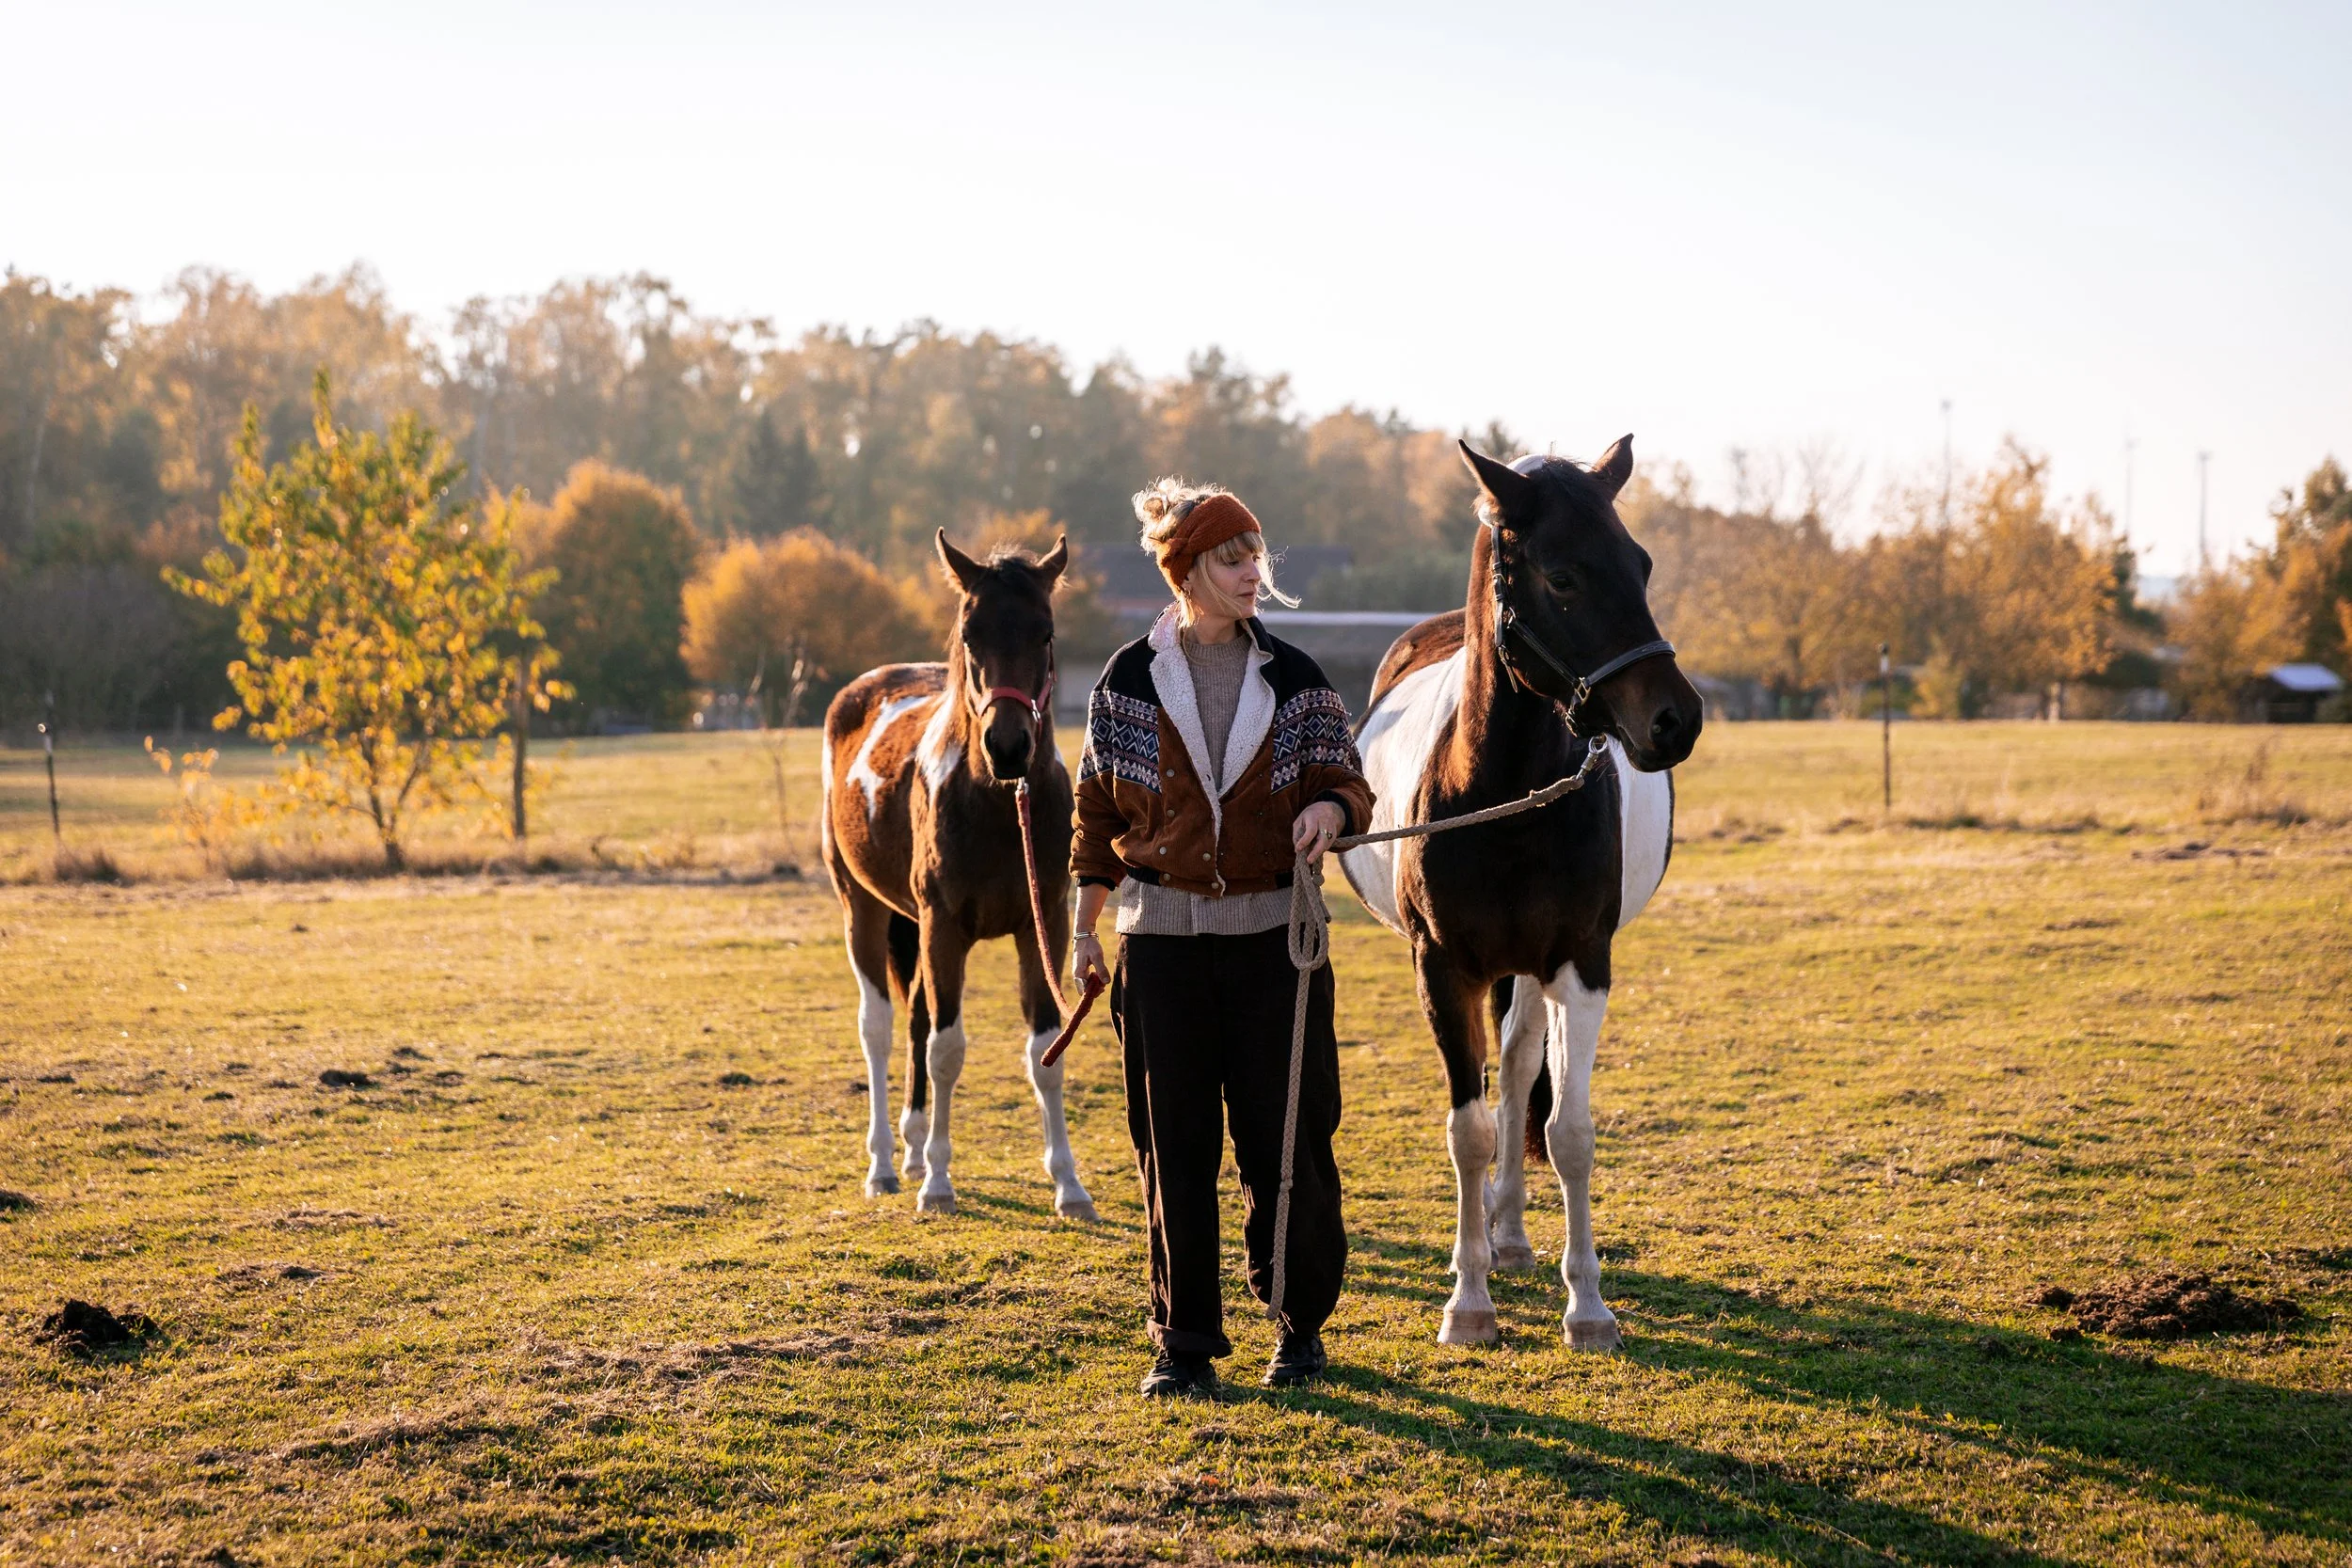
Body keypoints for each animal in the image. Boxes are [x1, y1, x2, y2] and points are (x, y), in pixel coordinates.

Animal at [819, 530, 1096, 1221]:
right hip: (863, 909)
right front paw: (939, 1184)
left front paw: (1068, 1183)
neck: (997, 804)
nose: (1008, 746)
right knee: (881, 1027)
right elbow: (946, 1050)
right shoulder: (943, 927)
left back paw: (914, 1149)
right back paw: (886, 1165)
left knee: (917, 1013)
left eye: (1046, 632)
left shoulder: (1043, 925)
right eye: (971, 634)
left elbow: (1044, 1052)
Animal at [1339, 437, 1703, 1348]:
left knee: (1516, 1067)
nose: (1676, 719)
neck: (1499, 793)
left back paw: (1508, 1232)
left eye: (1642, 564)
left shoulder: (1580, 964)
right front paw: (1468, 1302)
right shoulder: (1443, 971)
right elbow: (1467, 1131)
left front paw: (1590, 1306)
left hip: (1533, 972)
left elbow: (1567, 1130)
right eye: (1563, 577)